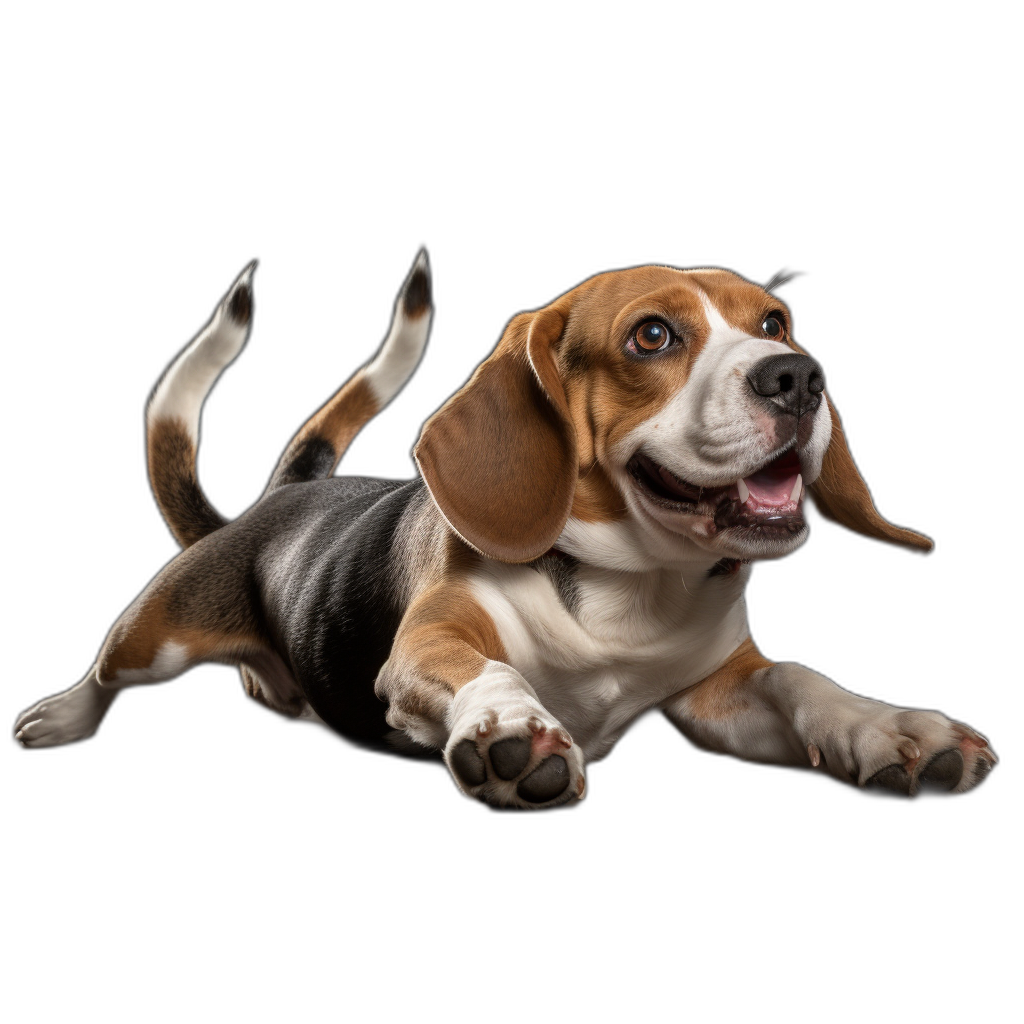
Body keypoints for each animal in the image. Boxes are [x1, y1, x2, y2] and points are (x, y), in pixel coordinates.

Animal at [12, 253, 995, 806]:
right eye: (651, 336)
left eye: (774, 322)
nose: (798, 376)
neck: (631, 593)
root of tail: (279, 500)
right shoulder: (430, 643)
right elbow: (484, 667)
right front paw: (506, 730)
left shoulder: (718, 690)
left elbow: (799, 679)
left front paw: (893, 730)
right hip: (155, 633)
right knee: (110, 669)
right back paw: (60, 718)